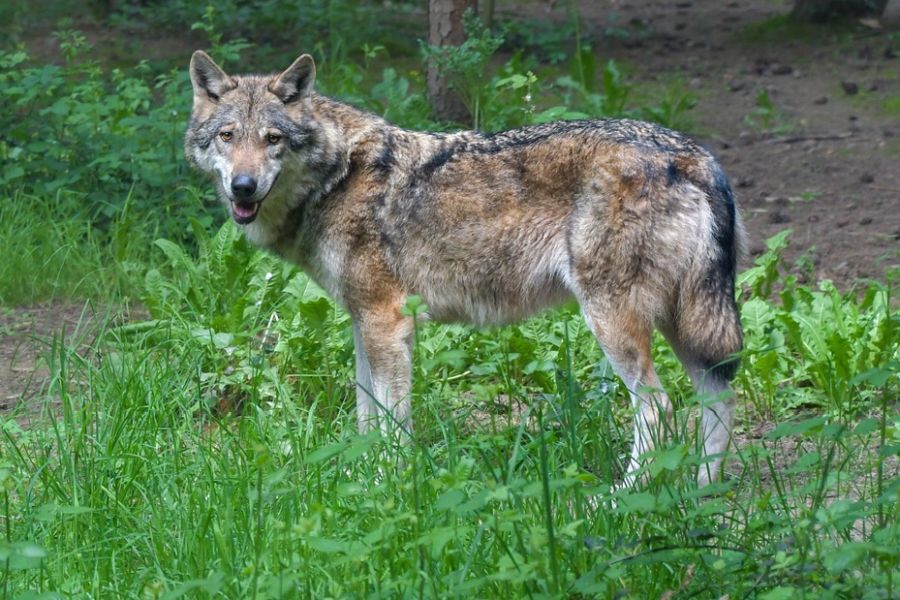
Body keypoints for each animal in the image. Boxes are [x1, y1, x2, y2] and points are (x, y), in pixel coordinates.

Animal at [185, 49, 744, 486]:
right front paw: (358, 482)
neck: (337, 177)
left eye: (273, 139)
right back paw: (700, 495)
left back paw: (616, 500)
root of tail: (695, 156)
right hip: (685, 324)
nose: (243, 186)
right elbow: (367, 418)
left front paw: (388, 486)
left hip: (615, 322)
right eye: (228, 136)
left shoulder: (388, 322)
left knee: (660, 408)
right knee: (718, 398)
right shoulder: (363, 323)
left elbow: (392, 424)